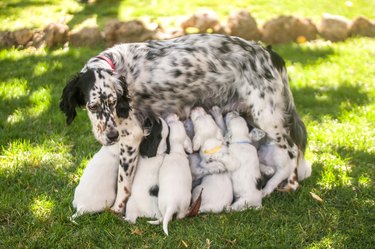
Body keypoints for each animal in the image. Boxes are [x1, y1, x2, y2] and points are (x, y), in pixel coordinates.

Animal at [60, 32, 308, 212]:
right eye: (92, 107)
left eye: (113, 102)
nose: (111, 136)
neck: (118, 67)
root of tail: (268, 53)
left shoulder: (131, 136)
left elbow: (124, 183)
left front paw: (117, 208)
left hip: (267, 117)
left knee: (294, 150)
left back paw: (291, 184)